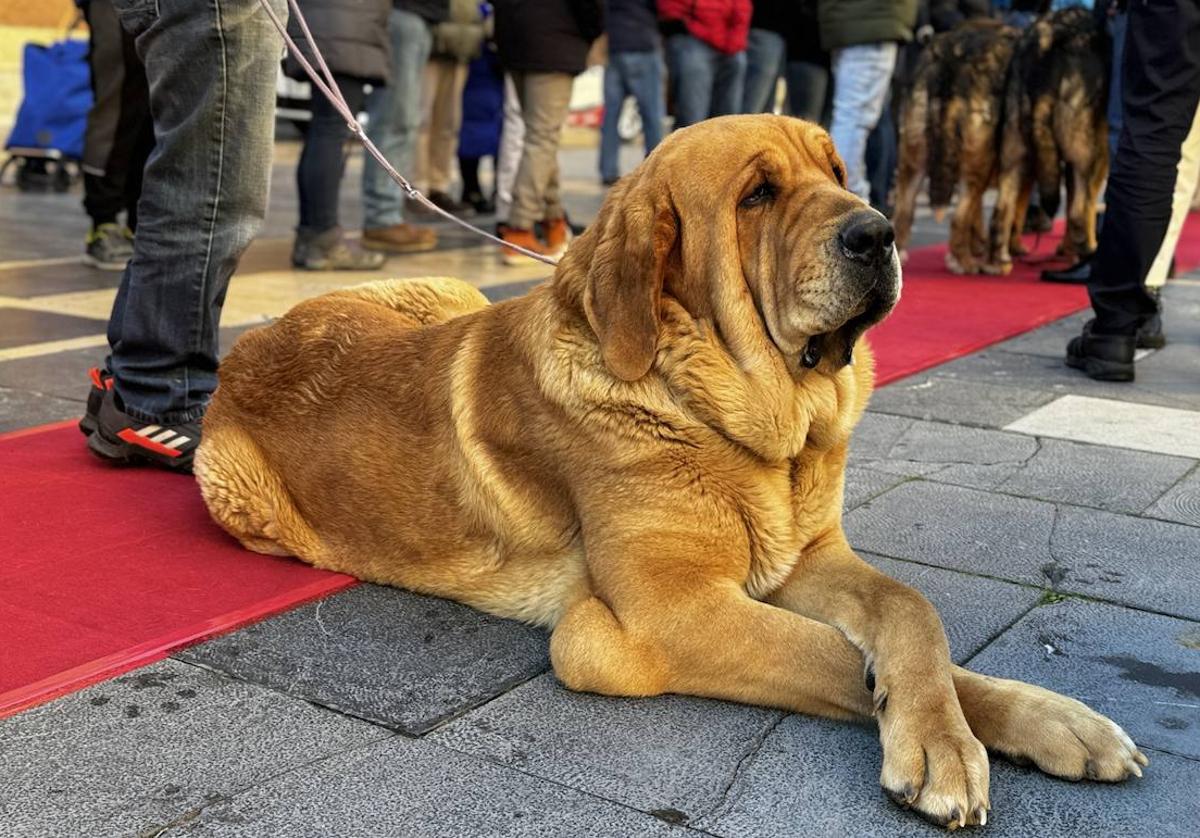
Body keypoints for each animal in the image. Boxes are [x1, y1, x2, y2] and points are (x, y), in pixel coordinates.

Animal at [196, 114, 1142, 825]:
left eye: (839, 170)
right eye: (757, 195)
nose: (878, 231)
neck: (721, 410)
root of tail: (244, 348)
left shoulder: (808, 558)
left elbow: (915, 618)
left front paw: (1040, 721)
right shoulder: (669, 615)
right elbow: (830, 655)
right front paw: (940, 743)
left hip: (448, 294)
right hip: (233, 488)